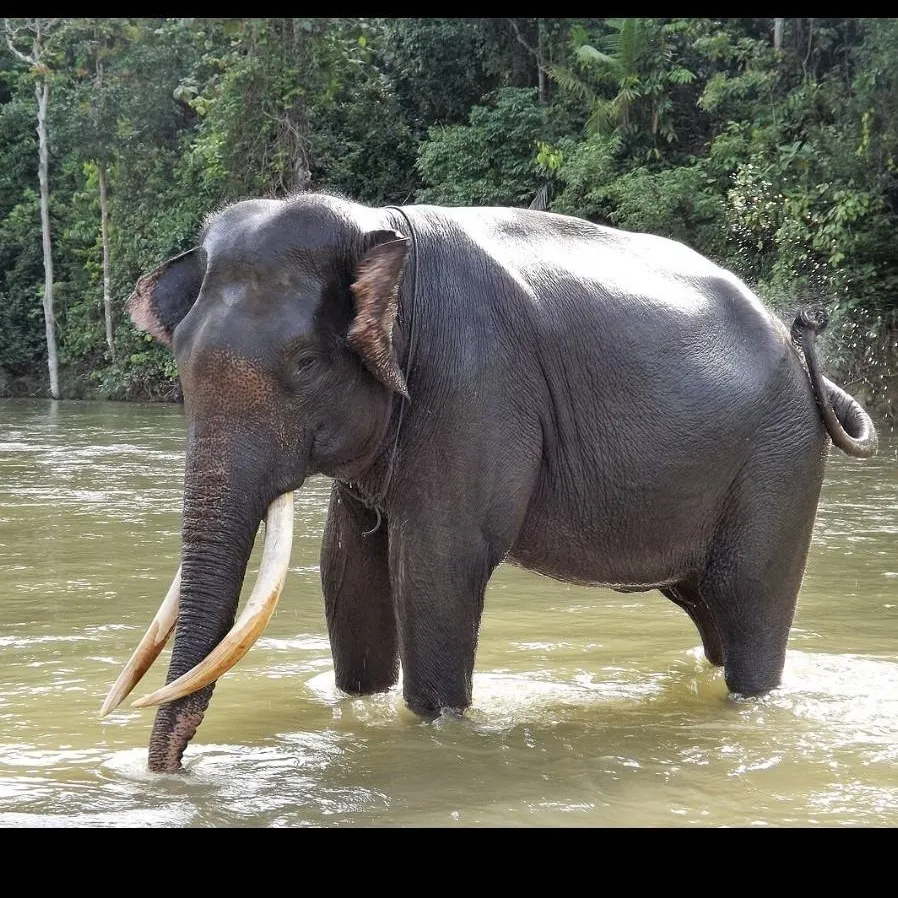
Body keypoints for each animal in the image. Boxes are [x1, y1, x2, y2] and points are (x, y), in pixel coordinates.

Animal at [100, 192, 878, 773]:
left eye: (304, 365)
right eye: (179, 363)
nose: (174, 771)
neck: (378, 229)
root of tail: (808, 361)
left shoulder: (472, 386)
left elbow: (436, 568)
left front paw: (436, 727)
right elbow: (347, 571)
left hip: (779, 463)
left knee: (750, 611)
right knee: (710, 612)